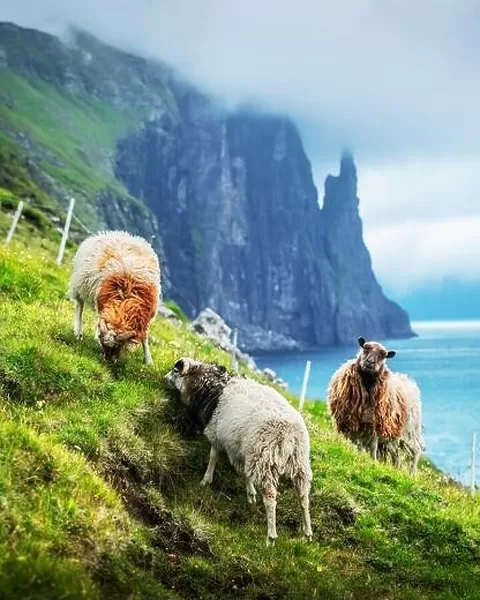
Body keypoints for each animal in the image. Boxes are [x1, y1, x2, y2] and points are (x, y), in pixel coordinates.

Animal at [68, 230, 161, 364]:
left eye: (118, 346)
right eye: (103, 344)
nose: (108, 361)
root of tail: (109, 233)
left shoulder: (146, 315)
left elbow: (145, 336)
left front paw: (148, 360)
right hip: (79, 285)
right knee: (79, 307)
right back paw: (78, 332)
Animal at [165, 356, 314, 548]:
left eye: (175, 370)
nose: (164, 378)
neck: (212, 389)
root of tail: (288, 434)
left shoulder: (218, 435)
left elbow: (214, 457)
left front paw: (206, 480)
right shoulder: (240, 450)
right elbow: (244, 473)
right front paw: (251, 495)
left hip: (264, 459)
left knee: (271, 497)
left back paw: (271, 537)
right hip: (299, 461)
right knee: (303, 497)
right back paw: (307, 533)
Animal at [326, 338, 424, 474]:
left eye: (383, 355)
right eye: (365, 348)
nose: (370, 363)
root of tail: (409, 381)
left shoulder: (375, 426)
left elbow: (372, 448)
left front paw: (372, 463)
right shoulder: (353, 425)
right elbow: (359, 446)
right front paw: (359, 457)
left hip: (409, 432)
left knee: (413, 453)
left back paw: (411, 474)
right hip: (393, 436)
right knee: (395, 454)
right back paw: (397, 470)